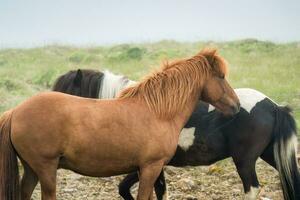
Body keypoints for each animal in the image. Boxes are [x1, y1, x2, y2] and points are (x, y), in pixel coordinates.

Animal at [0, 48, 239, 200]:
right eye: (220, 76)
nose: (236, 106)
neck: (158, 112)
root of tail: (15, 111)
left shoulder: (147, 170)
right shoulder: (151, 168)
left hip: (32, 169)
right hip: (46, 169)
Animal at [52, 69, 298, 200]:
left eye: (65, 94)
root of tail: (273, 106)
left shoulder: (148, 164)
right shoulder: (150, 165)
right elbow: (152, 190)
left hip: (244, 160)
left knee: (252, 188)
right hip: (269, 154)